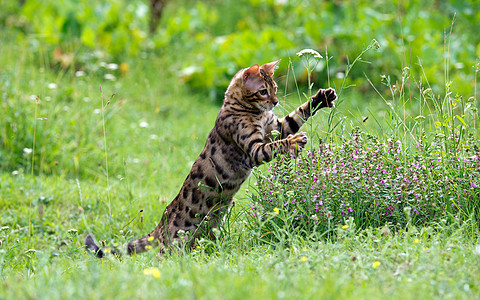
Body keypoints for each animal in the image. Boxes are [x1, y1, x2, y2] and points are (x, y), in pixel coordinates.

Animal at [84, 59, 336, 256]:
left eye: (274, 87)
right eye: (263, 91)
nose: (275, 101)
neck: (251, 110)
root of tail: (159, 227)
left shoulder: (276, 127)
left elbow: (296, 116)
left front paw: (321, 98)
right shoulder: (253, 148)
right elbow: (275, 146)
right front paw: (294, 142)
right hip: (176, 241)